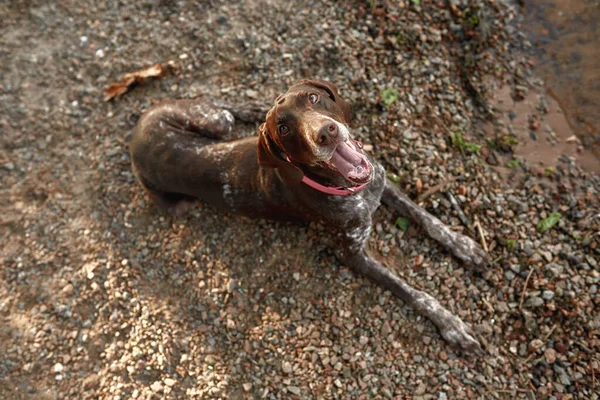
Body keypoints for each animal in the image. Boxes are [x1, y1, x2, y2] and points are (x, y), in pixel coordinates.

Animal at [130, 79, 488, 352]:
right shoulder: (353, 256)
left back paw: (254, 107)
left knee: (214, 101)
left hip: (214, 123)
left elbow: (427, 219)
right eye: (284, 128)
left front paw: (464, 246)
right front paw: (450, 323)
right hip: (192, 171)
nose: (326, 133)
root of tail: (136, 135)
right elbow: (413, 293)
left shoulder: (382, 184)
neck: (348, 189)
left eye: (313, 98)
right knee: (212, 103)